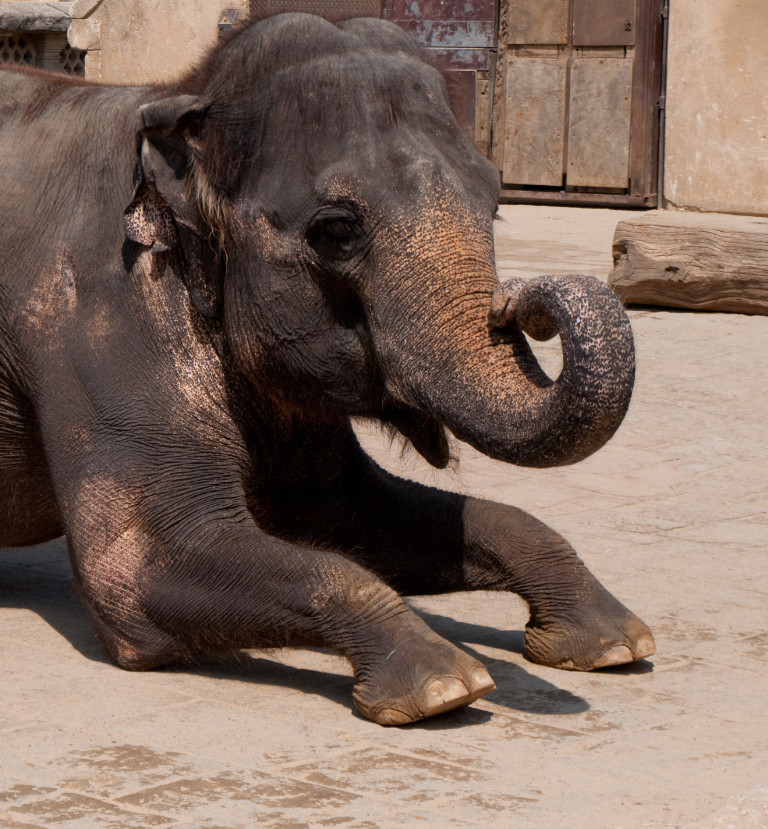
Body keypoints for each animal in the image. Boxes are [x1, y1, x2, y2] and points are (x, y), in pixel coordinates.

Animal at [1, 12, 656, 724]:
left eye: (494, 203)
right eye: (339, 229)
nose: (519, 305)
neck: (184, 95)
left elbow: (344, 509)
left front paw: (614, 644)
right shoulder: (101, 313)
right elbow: (138, 566)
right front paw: (441, 685)